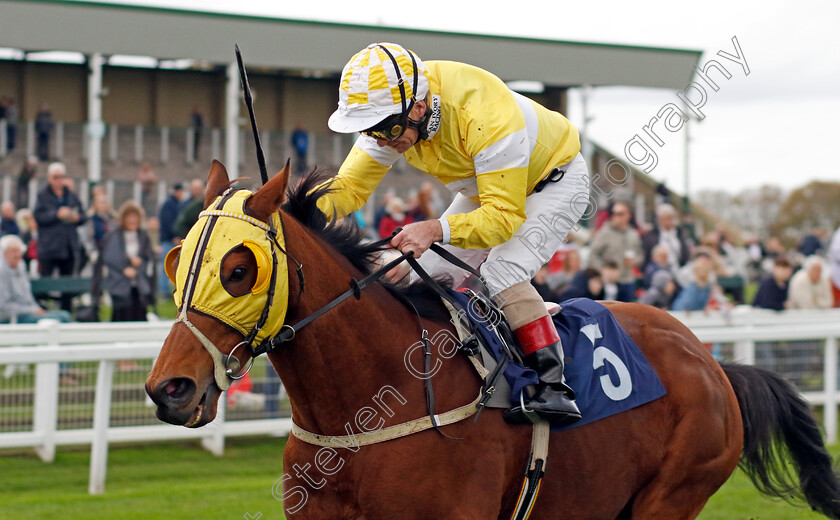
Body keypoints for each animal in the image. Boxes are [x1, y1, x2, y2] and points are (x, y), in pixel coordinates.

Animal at [146, 159, 840, 520]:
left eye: (239, 269)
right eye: (175, 261)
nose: (169, 389)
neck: (366, 411)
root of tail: (714, 365)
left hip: (672, 496)